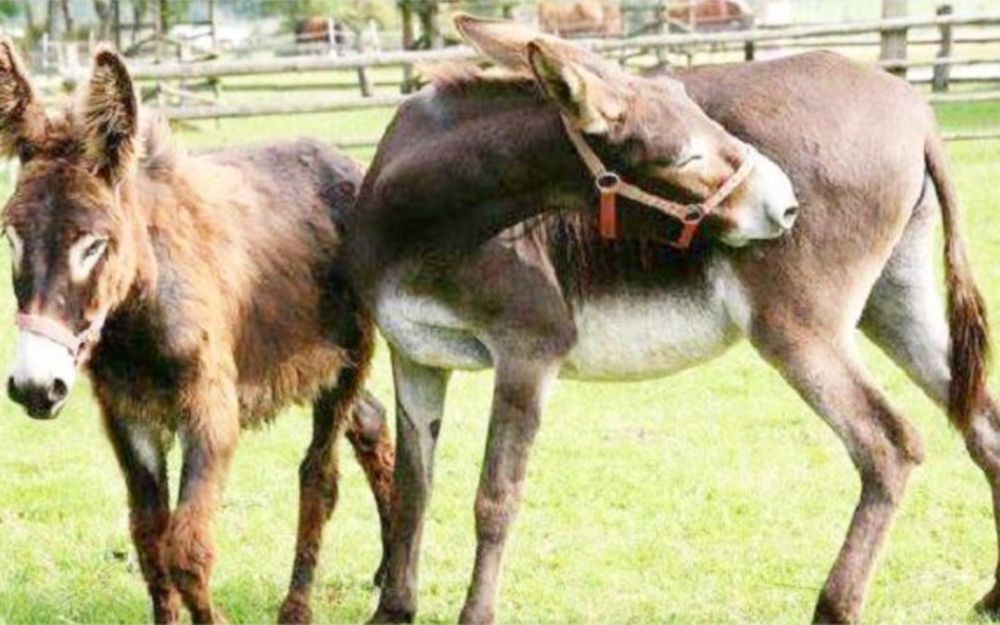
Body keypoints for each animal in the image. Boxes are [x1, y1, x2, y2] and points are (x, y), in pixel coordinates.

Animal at [0, 43, 394, 624]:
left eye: (93, 245)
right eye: (11, 237)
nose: (34, 387)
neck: (135, 319)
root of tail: (345, 161)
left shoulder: (211, 410)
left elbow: (184, 549)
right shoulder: (128, 416)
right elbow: (149, 541)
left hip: (347, 356)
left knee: (320, 478)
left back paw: (297, 606)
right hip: (311, 362)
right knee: (371, 421)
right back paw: (389, 567)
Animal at [347, 17, 993, 625]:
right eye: (687, 156)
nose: (786, 205)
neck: (422, 221)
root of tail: (914, 109)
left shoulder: (529, 348)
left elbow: (496, 498)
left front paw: (474, 615)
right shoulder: (415, 355)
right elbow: (413, 490)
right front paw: (393, 610)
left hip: (798, 327)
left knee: (889, 444)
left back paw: (835, 607)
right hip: (893, 302)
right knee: (981, 419)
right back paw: (992, 595)